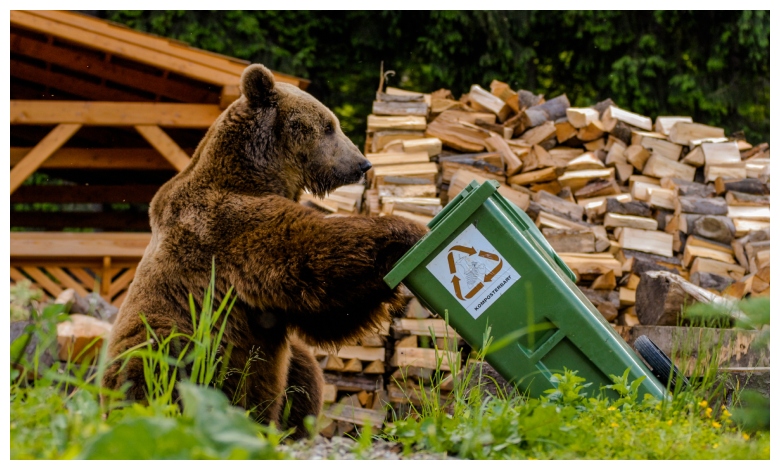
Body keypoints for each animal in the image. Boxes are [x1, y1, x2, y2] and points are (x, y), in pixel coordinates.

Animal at [103, 64, 426, 438]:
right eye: (328, 126)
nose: (362, 164)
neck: (258, 173)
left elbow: (328, 314)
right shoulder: (229, 227)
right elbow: (311, 256)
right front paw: (409, 230)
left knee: (303, 371)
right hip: (174, 338)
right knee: (156, 366)